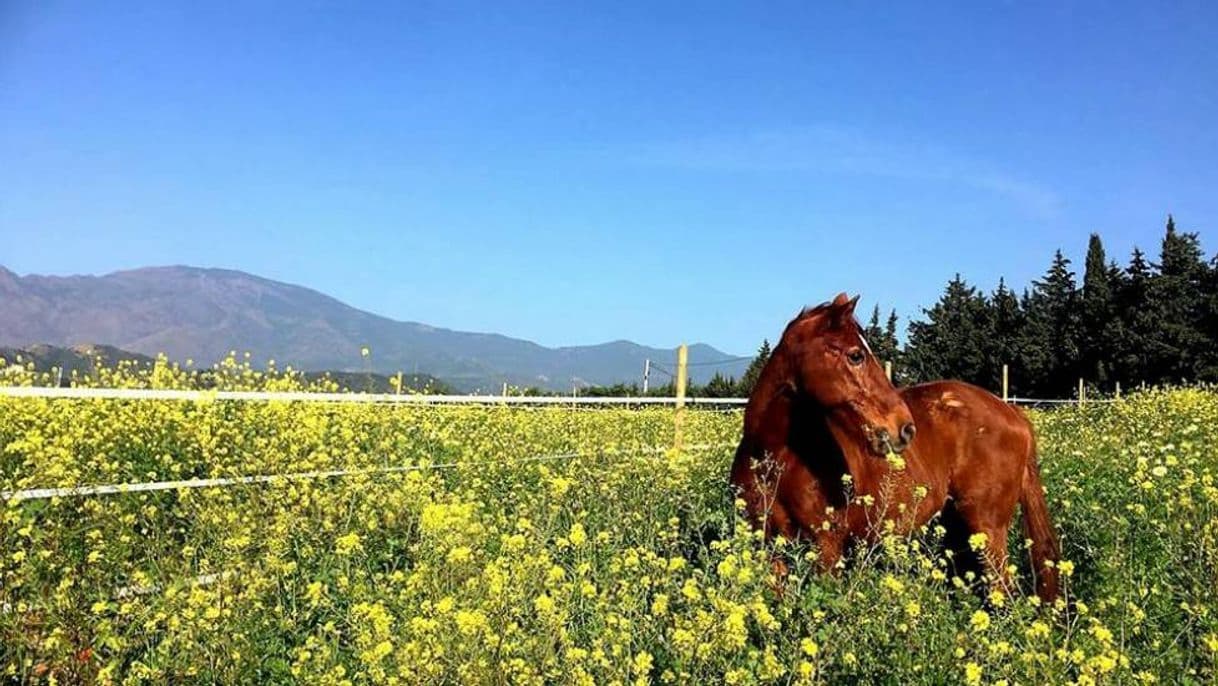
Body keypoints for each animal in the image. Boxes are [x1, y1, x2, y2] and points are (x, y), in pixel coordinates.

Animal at [725, 294, 1062, 601]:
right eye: (856, 355)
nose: (905, 428)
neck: (774, 459)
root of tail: (1014, 413)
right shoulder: (769, 547)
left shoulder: (827, 549)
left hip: (987, 529)